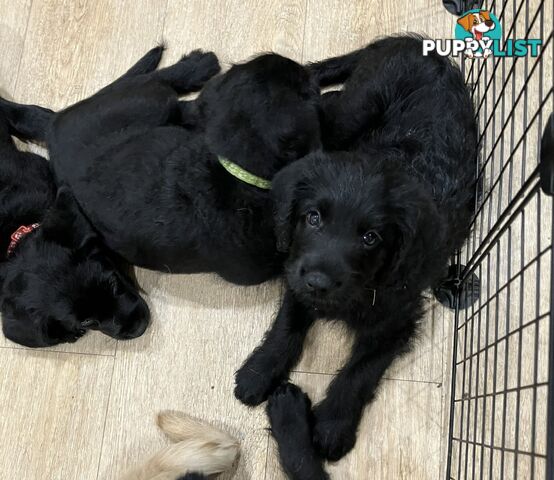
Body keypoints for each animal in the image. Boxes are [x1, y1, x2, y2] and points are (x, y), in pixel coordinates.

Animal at [5, 44, 320, 284]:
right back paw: (198, 64)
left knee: (186, 106)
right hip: (148, 103)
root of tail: (52, 126)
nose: (302, 69)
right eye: (302, 89)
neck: (237, 171)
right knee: (159, 85)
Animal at [235, 34, 476, 462]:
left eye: (371, 238)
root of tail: (415, 44)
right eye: (313, 217)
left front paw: (333, 425)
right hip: (355, 108)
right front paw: (259, 370)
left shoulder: (396, 318)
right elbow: (286, 324)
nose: (319, 282)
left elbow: (360, 370)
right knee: (326, 106)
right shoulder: (299, 269)